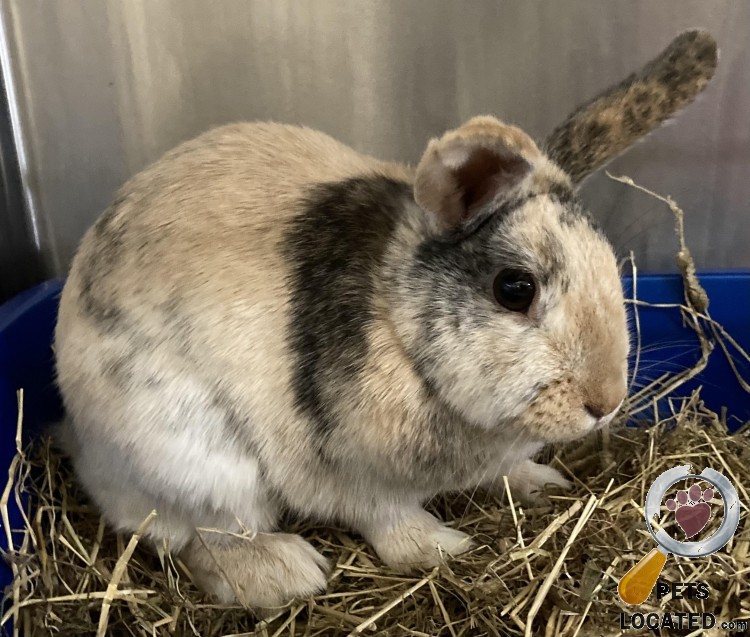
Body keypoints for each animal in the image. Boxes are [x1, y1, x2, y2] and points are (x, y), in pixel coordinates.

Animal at [54, 30, 717, 609]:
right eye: (515, 288)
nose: (605, 401)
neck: (400, 331)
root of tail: (82, 445)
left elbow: (505, 471)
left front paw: (541, 483)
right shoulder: (354, 480)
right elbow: (389, 520)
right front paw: (443, 547)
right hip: (198, 462)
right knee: (205, 537)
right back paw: (289, 573)